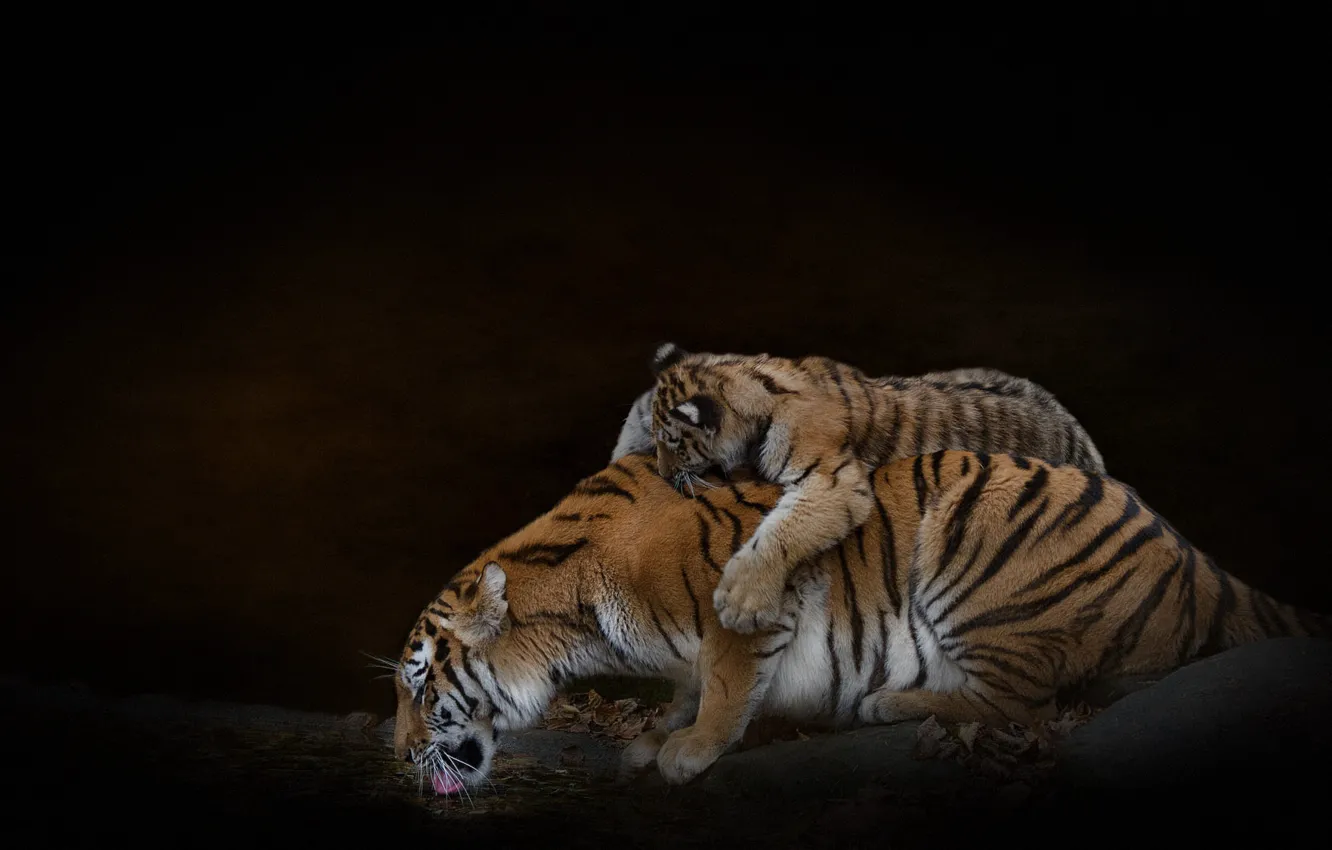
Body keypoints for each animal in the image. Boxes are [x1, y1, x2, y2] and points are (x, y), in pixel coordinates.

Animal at [390, 450, 1327, 793]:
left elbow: (727, 677)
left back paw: (891, 701)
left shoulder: (746, 610)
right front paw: (658, 732)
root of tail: (1196, 557)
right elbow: (690, 683)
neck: (575, 623)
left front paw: (690, 750)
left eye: (421, 685)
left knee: (1025, 706)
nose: (398, 755)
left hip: (976, 550)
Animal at [613, 342, 1107, 635]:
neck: (754, 381)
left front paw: (740, 602)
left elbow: (780, 534)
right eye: (660, 439)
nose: (663, 472)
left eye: (673, 442)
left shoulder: (831, 482)